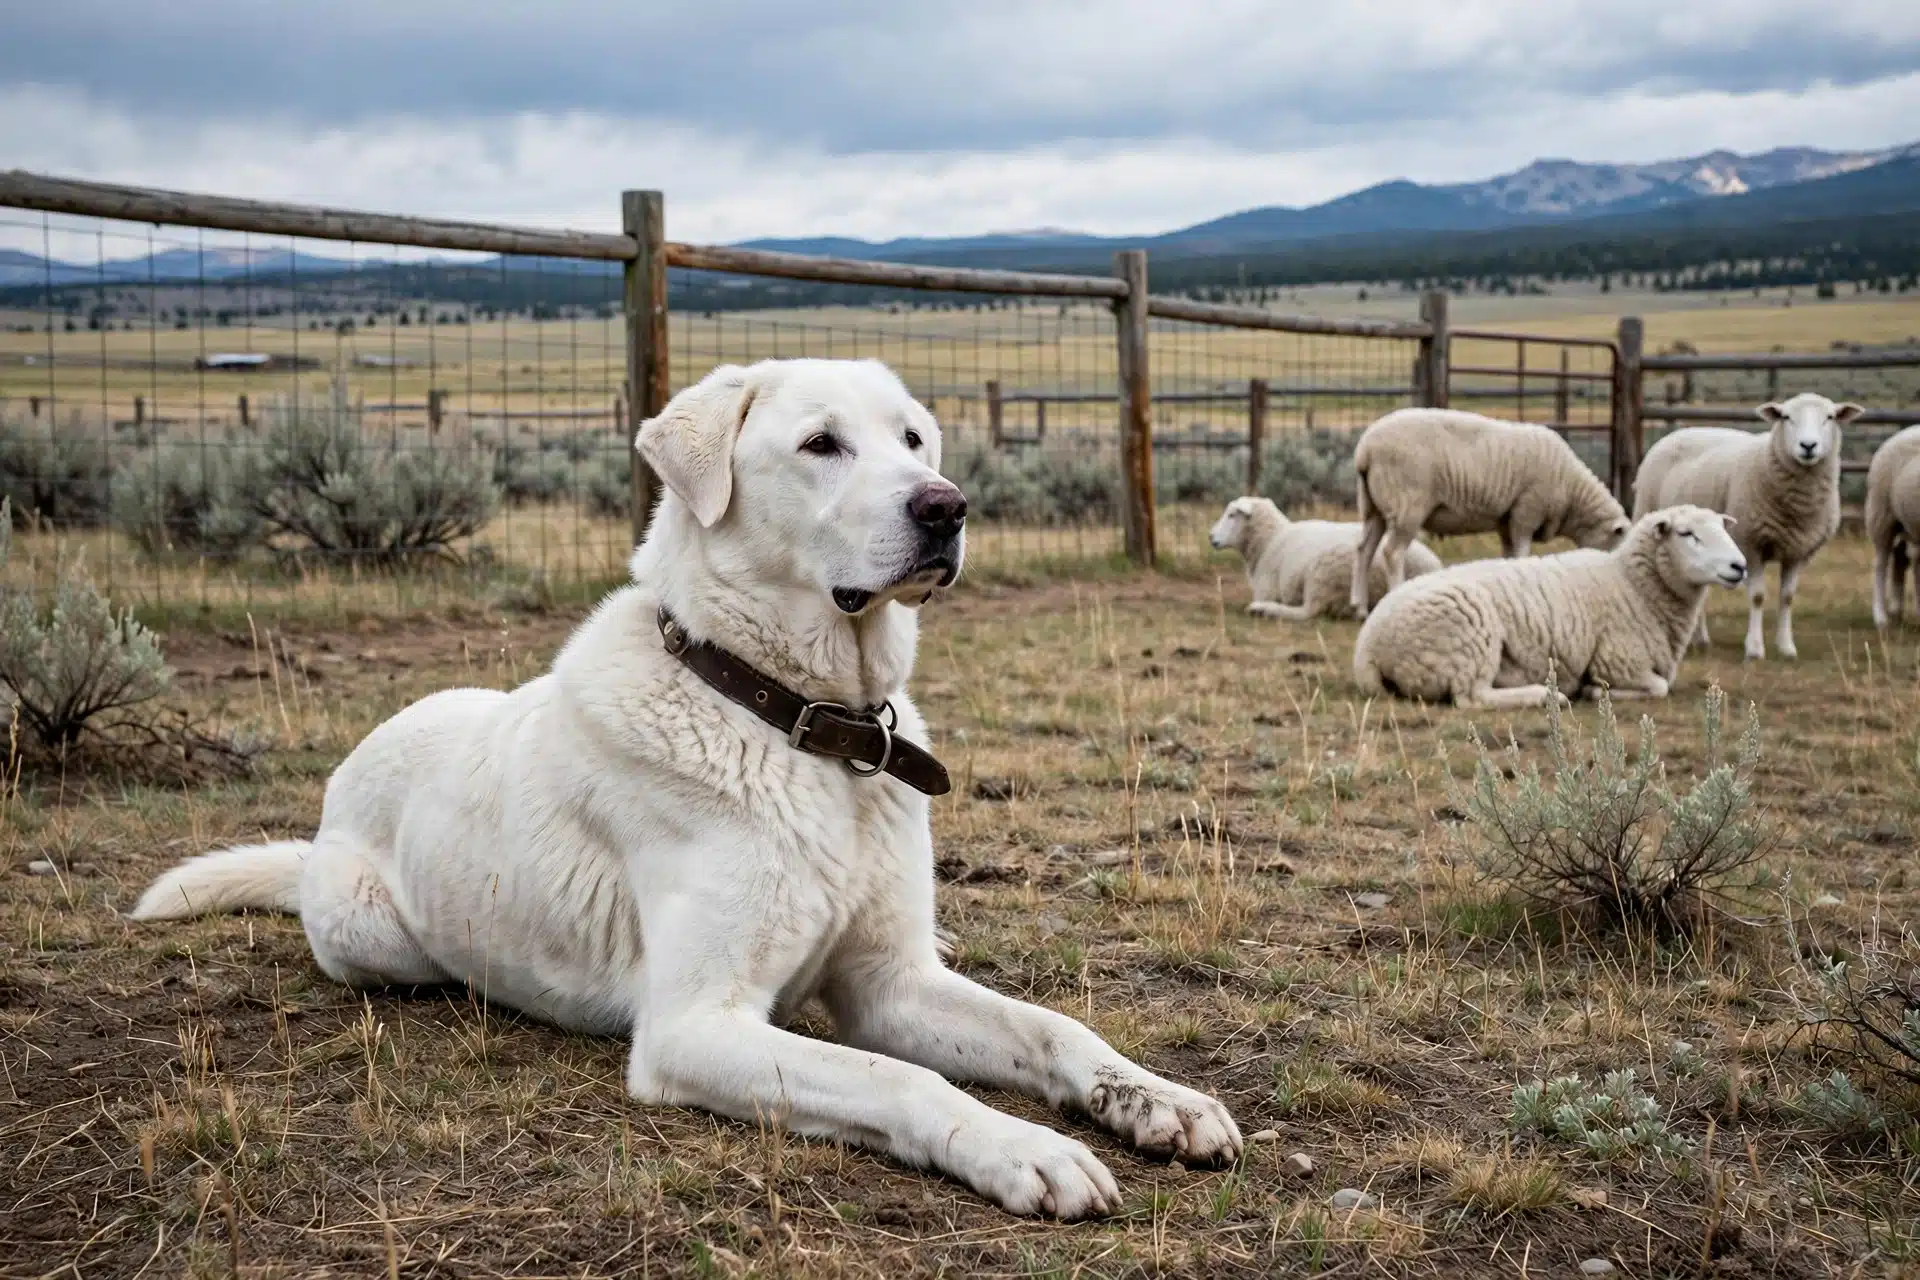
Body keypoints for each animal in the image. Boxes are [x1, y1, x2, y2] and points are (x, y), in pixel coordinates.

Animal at [1209, 496, 1441, 621]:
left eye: (1232, 514)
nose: (1211, 537)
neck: (1271, 539)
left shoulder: (1266, 590)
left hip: (1322, 578)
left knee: (1308, 612)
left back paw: (1263, 610)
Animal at [1349, 408, 1630, 616]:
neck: (1572, 492)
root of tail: (1365, 451)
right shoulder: (1526, 513)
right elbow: (1521, 555)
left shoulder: (1507, 521)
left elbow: (1508, 556)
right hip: (1407, 504)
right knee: (1392, 553)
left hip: (1373, 506)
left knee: (1364, 549)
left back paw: (1359, 607)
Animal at [1352, 505, 1746, 710]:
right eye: (1687, 534)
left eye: (1722, 528)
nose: (1739, 566)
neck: (1632, 585)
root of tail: (1367, 648)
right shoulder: (1617, 661)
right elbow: (1658, 687)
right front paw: (1592, 691)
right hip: (1468, 640)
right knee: (1471, 698)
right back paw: (1547, 695)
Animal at [1632, 391, 1862, 660]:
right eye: (1786, 417)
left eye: (1830, 417)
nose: (1808, 446)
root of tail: (1679, 431)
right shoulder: (1751, 544)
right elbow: (1758, 597)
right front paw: (1754, 649)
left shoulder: (1797, 550)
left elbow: (1787, 597)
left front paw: (1786, 647)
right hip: (1648, 512)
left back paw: (1700, 639)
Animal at [1867, 425, 1920, 629]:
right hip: (1881, 512)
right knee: (1881, 562)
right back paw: (1880, 616)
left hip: (1904, 523)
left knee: (1900, 557)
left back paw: (1897, 609)